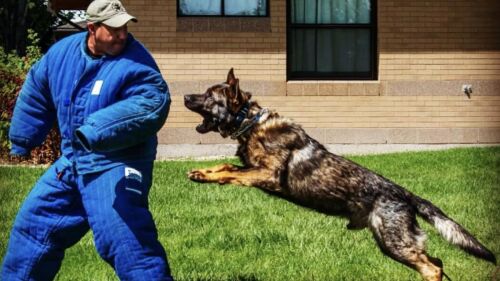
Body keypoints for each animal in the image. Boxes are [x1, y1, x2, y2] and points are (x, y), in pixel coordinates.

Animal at [184, 68, 496, 280]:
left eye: (209, 95)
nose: (185, 95)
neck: (249, 123)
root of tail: (404, 194)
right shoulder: (252, 169)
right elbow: (225, 167)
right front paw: (201, 172)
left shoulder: (266, 175)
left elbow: (229, 174)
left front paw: (209, 176)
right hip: (391, 242)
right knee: (438, 262)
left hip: (395, 241)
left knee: (432, 268)